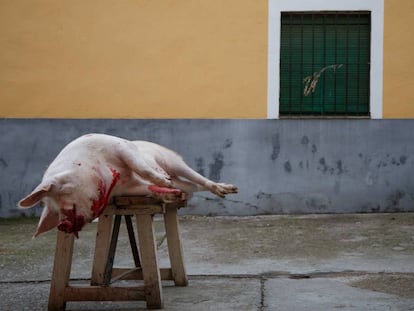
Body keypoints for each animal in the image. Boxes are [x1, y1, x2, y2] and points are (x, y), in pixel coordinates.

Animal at [19, 133, 238, 238]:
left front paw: (162, 179)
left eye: (65, 189)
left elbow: (140, 167)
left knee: (198, 178)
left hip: (172, 160)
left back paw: (228, 190)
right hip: (184, 182)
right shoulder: (127, 188)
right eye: (55, 210)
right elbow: (147, 187)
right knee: (192, 186)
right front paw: (169, 192)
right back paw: (182, 192)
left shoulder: (122, 148)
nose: (63, 224)